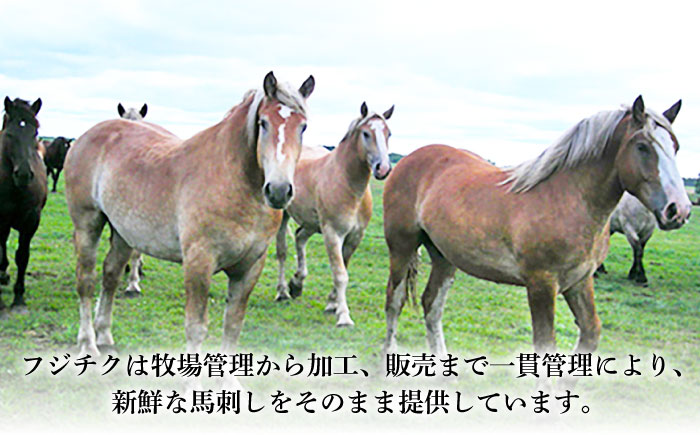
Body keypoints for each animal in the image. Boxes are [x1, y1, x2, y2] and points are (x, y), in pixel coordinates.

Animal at [64, 72, 315, 356]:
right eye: (263, 123)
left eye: (303, 127)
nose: (279, 190)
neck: (233, 181)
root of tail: (85, 137)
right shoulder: (198, 263)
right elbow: (196, 329)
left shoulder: (249, 268)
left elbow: (233, 327)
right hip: (88, 224)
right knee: (86, 282)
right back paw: (88, 344)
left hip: (123, 233)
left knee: (110, 275)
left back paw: (105, 336)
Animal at [273, 102, 394, 326]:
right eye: (366, 133)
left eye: (388, 133)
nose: (383, 169)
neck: (347, 183)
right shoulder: (333, 234)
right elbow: (340, 274)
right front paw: (344, 315)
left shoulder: (354, 237)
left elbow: (343, 267)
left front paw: (332, 304)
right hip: (284, 216)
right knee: (282, 252)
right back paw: (283, 291)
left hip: (311, 224)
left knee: (300, 238)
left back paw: (297, 283)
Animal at [381, 96, 689, 357]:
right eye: (642, 147)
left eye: (675, 146)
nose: (679, 209)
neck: (567, 197)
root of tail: (409, 160)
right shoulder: (542, 284)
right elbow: (545, 343)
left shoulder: (579, 281)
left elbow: (590, 333)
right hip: (402, 247)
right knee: (394, 301)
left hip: (444, 256)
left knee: (432, 305)